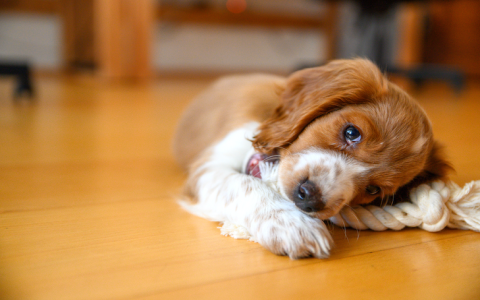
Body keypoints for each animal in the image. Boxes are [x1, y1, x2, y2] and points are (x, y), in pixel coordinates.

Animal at [172, 58, 450, 258]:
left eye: (373, 190)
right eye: (352, 132)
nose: (310, 198)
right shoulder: (208, 168)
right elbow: (244, 183)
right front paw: (291, 226)